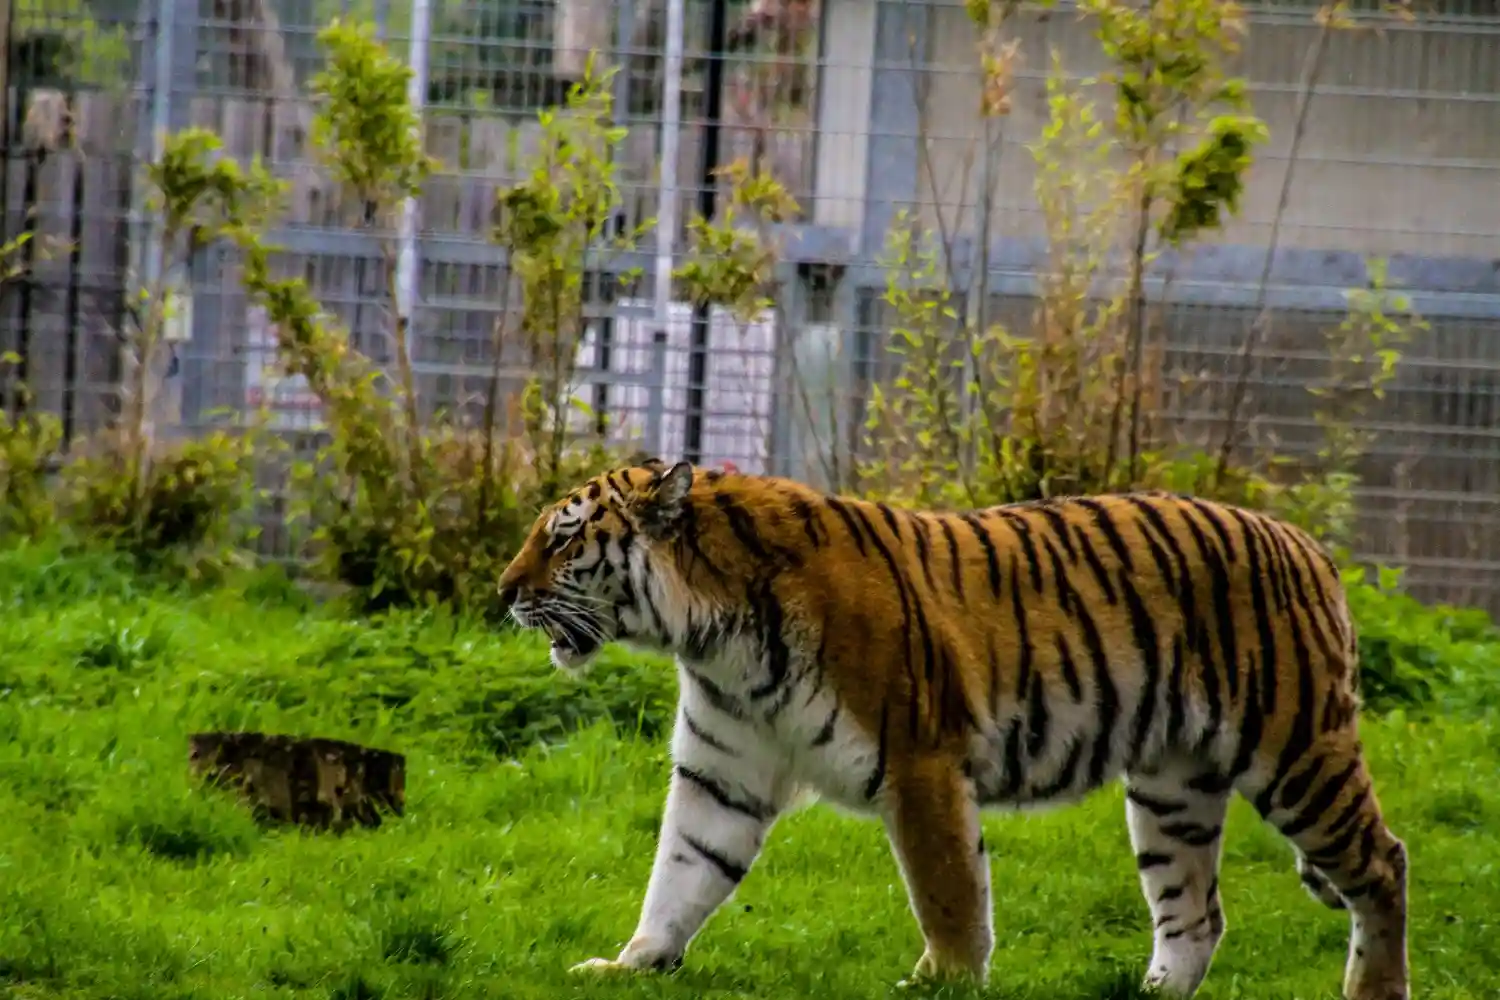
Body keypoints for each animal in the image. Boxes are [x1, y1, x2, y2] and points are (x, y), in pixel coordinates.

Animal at [495, 457, 1409, 1000]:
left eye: (564, 538)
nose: (503, 591)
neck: (710, 635)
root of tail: (1308, 544)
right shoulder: (723, 771)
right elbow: (682, 872)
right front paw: (632, 964)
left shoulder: (919, 759)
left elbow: (948, 891)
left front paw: (945, 981)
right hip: (1172, 788)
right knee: (1196, 912)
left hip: (1296, 751)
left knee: (1382, 863)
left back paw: (1374, 990)